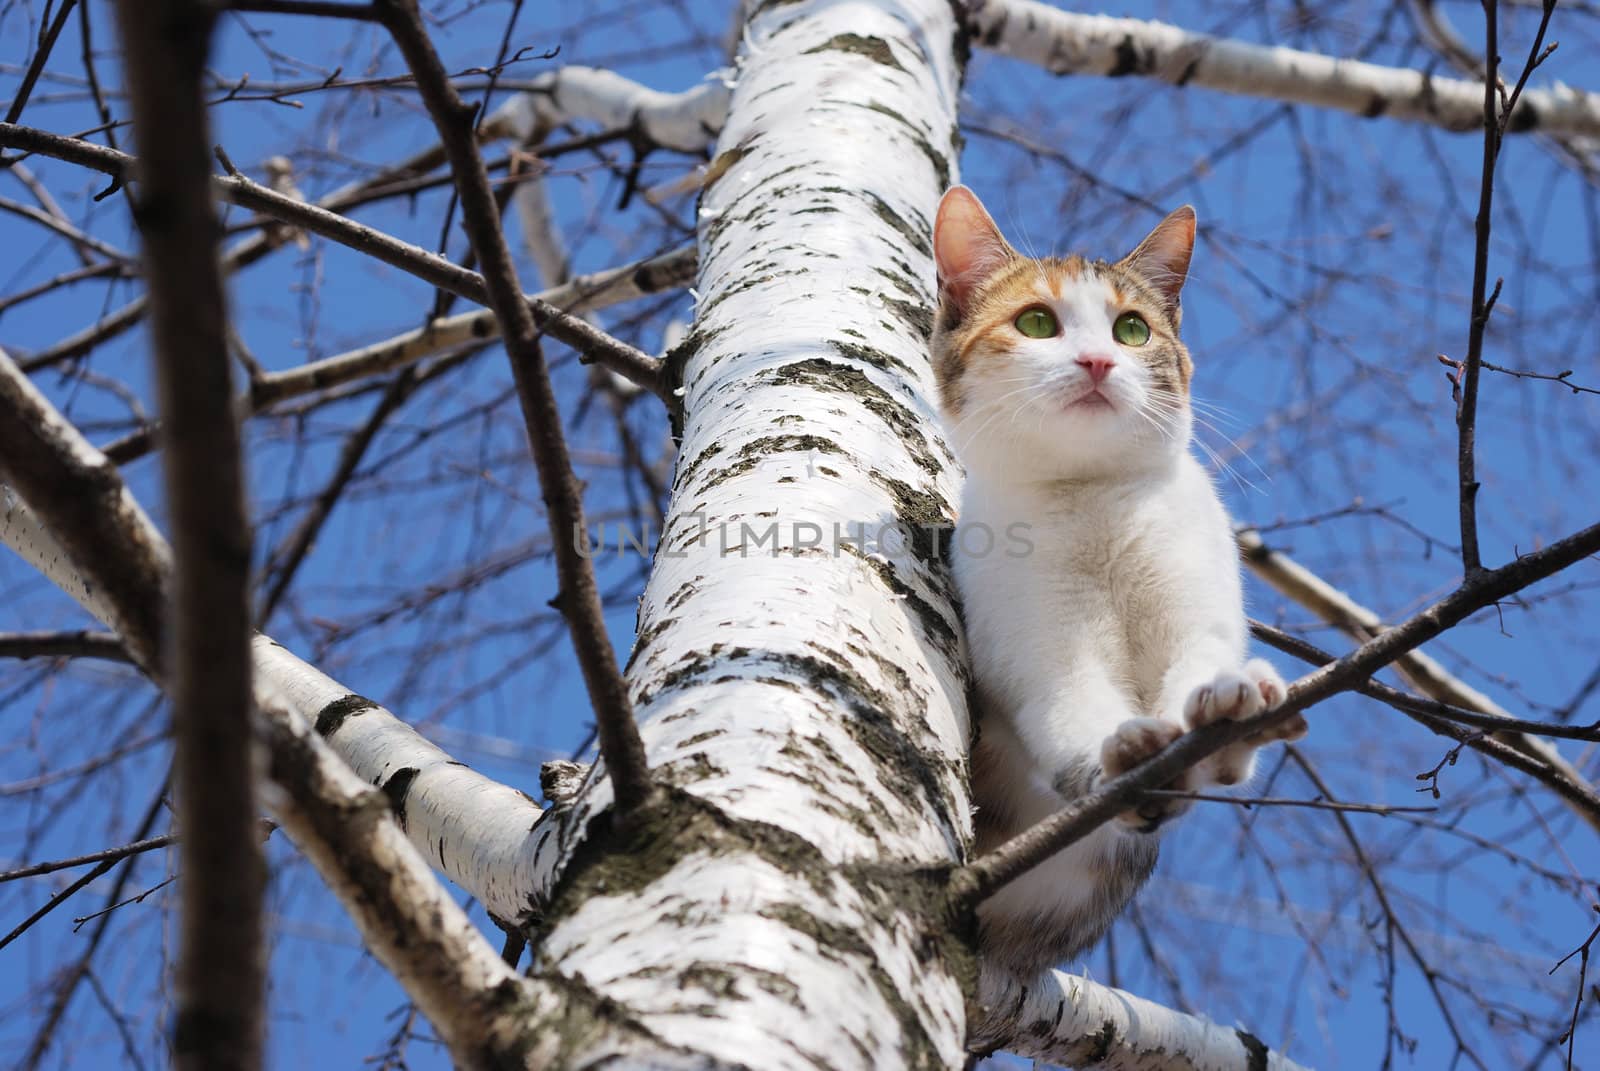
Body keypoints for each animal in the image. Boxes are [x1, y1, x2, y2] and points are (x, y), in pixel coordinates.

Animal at [934, 185, 1305, 979]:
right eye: (1036, 322)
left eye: (1132, 329)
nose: (1100, 360)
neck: (1091, 501)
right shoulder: (1034, 646)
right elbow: (1068, 705)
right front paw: (1124, 751)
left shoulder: (1195, 588)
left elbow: (1199, 653)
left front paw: (1227, 707)